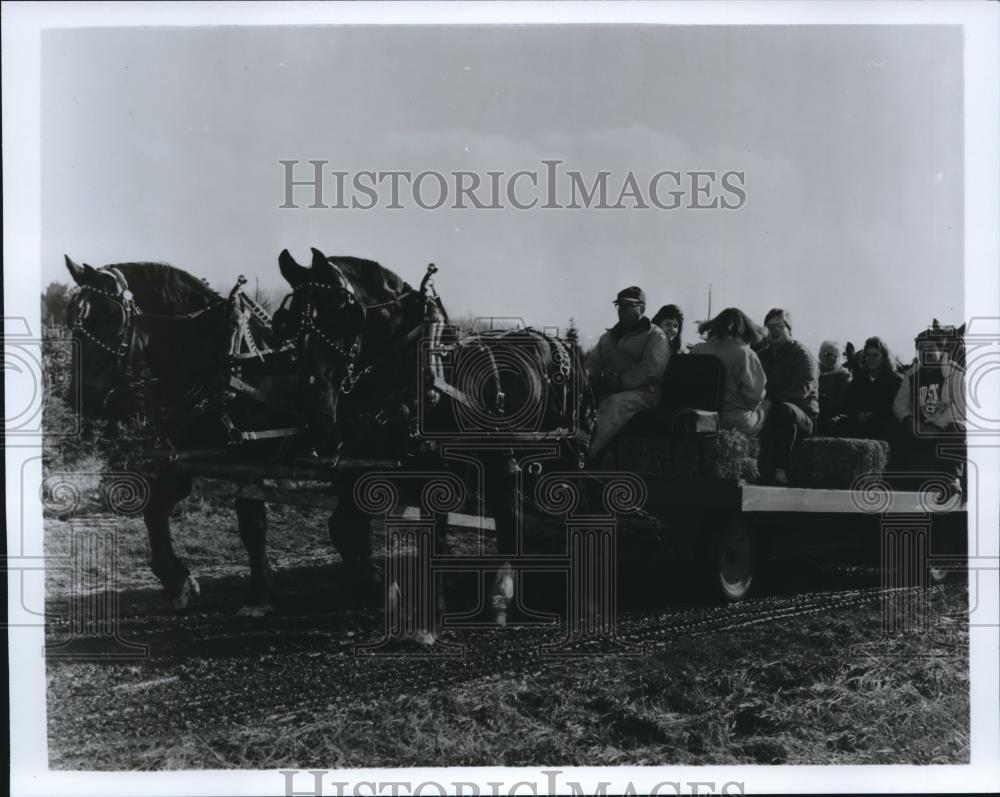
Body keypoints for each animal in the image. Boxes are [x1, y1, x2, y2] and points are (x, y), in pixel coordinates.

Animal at [59, 255, 296, 608]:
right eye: (71, 320)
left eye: (109, 317)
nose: (81, 399)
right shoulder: (182, 456)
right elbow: (155, 511)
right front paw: (177, 581)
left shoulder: (254, 456)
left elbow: (252, 521)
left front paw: (260, 591)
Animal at [274, 246, 592, 632]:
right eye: (285, 322)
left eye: (343, 312)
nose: (315, 408)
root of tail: (558, 342)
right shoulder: (376, 466)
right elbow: (347, 528)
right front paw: (378, 587)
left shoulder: (459, 467)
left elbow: (469, 532)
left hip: (557, 455)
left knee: (559, 508)